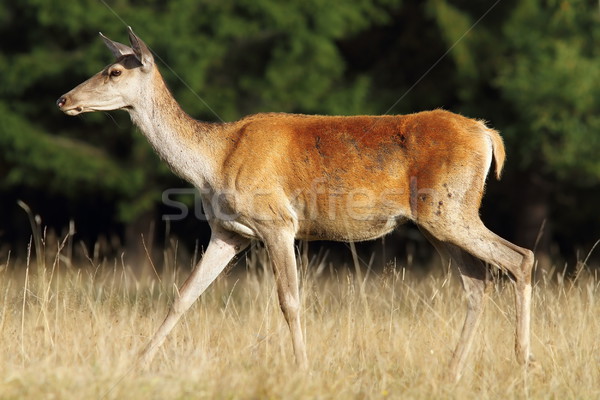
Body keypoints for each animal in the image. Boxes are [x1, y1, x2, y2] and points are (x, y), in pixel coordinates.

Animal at [56, 28, 536, 382]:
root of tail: (489, 135)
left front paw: (302, 368)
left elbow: (290, 300)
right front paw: (139, 361)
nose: (64, 99)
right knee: (477, 280)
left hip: (450, 208)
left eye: (114, 70)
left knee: (520, 257)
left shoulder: (278, 221)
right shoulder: (229, 231)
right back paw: (453, 369)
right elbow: (184, 294)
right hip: (437, 220)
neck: (214, 160)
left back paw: (523, 359)